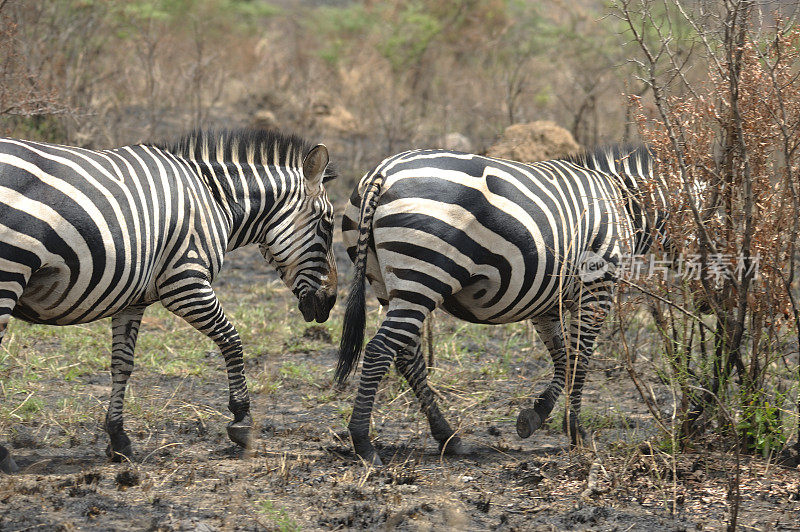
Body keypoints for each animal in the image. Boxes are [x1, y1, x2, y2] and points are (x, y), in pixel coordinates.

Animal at [0, 130, 336, 474]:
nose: (330, 303)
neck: (216, 201)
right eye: (327, 224)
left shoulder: (131, 300)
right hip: (9, 272)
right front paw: (242, 421)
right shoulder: (185, 281)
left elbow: (122, 363)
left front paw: (118, 439)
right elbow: (232, 339)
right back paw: (4, 455)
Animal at [336, 143, 668, 464]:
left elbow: (561, 357)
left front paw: (536, 415)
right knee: (380, 349)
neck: (626, 205)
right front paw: (576, 432)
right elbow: (578, 358)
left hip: (384, 280)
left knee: (407, 355)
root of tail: (382, 173)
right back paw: (363, 443)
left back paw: (448, 437)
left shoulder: (546, 299)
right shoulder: (597, 287)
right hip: (423, 275)